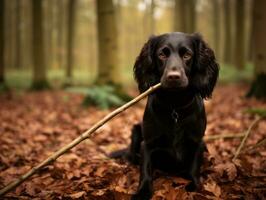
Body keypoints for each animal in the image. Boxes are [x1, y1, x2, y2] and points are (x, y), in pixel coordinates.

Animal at [109, 32, 218, 199]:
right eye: (162, 54)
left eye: (187, 55)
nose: (173, 77)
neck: (174, 105)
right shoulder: (147, 144)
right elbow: (145, 171)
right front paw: (142, 192)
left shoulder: (197, 142)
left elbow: (193, 169)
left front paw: (194, 185)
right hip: (136, 130)